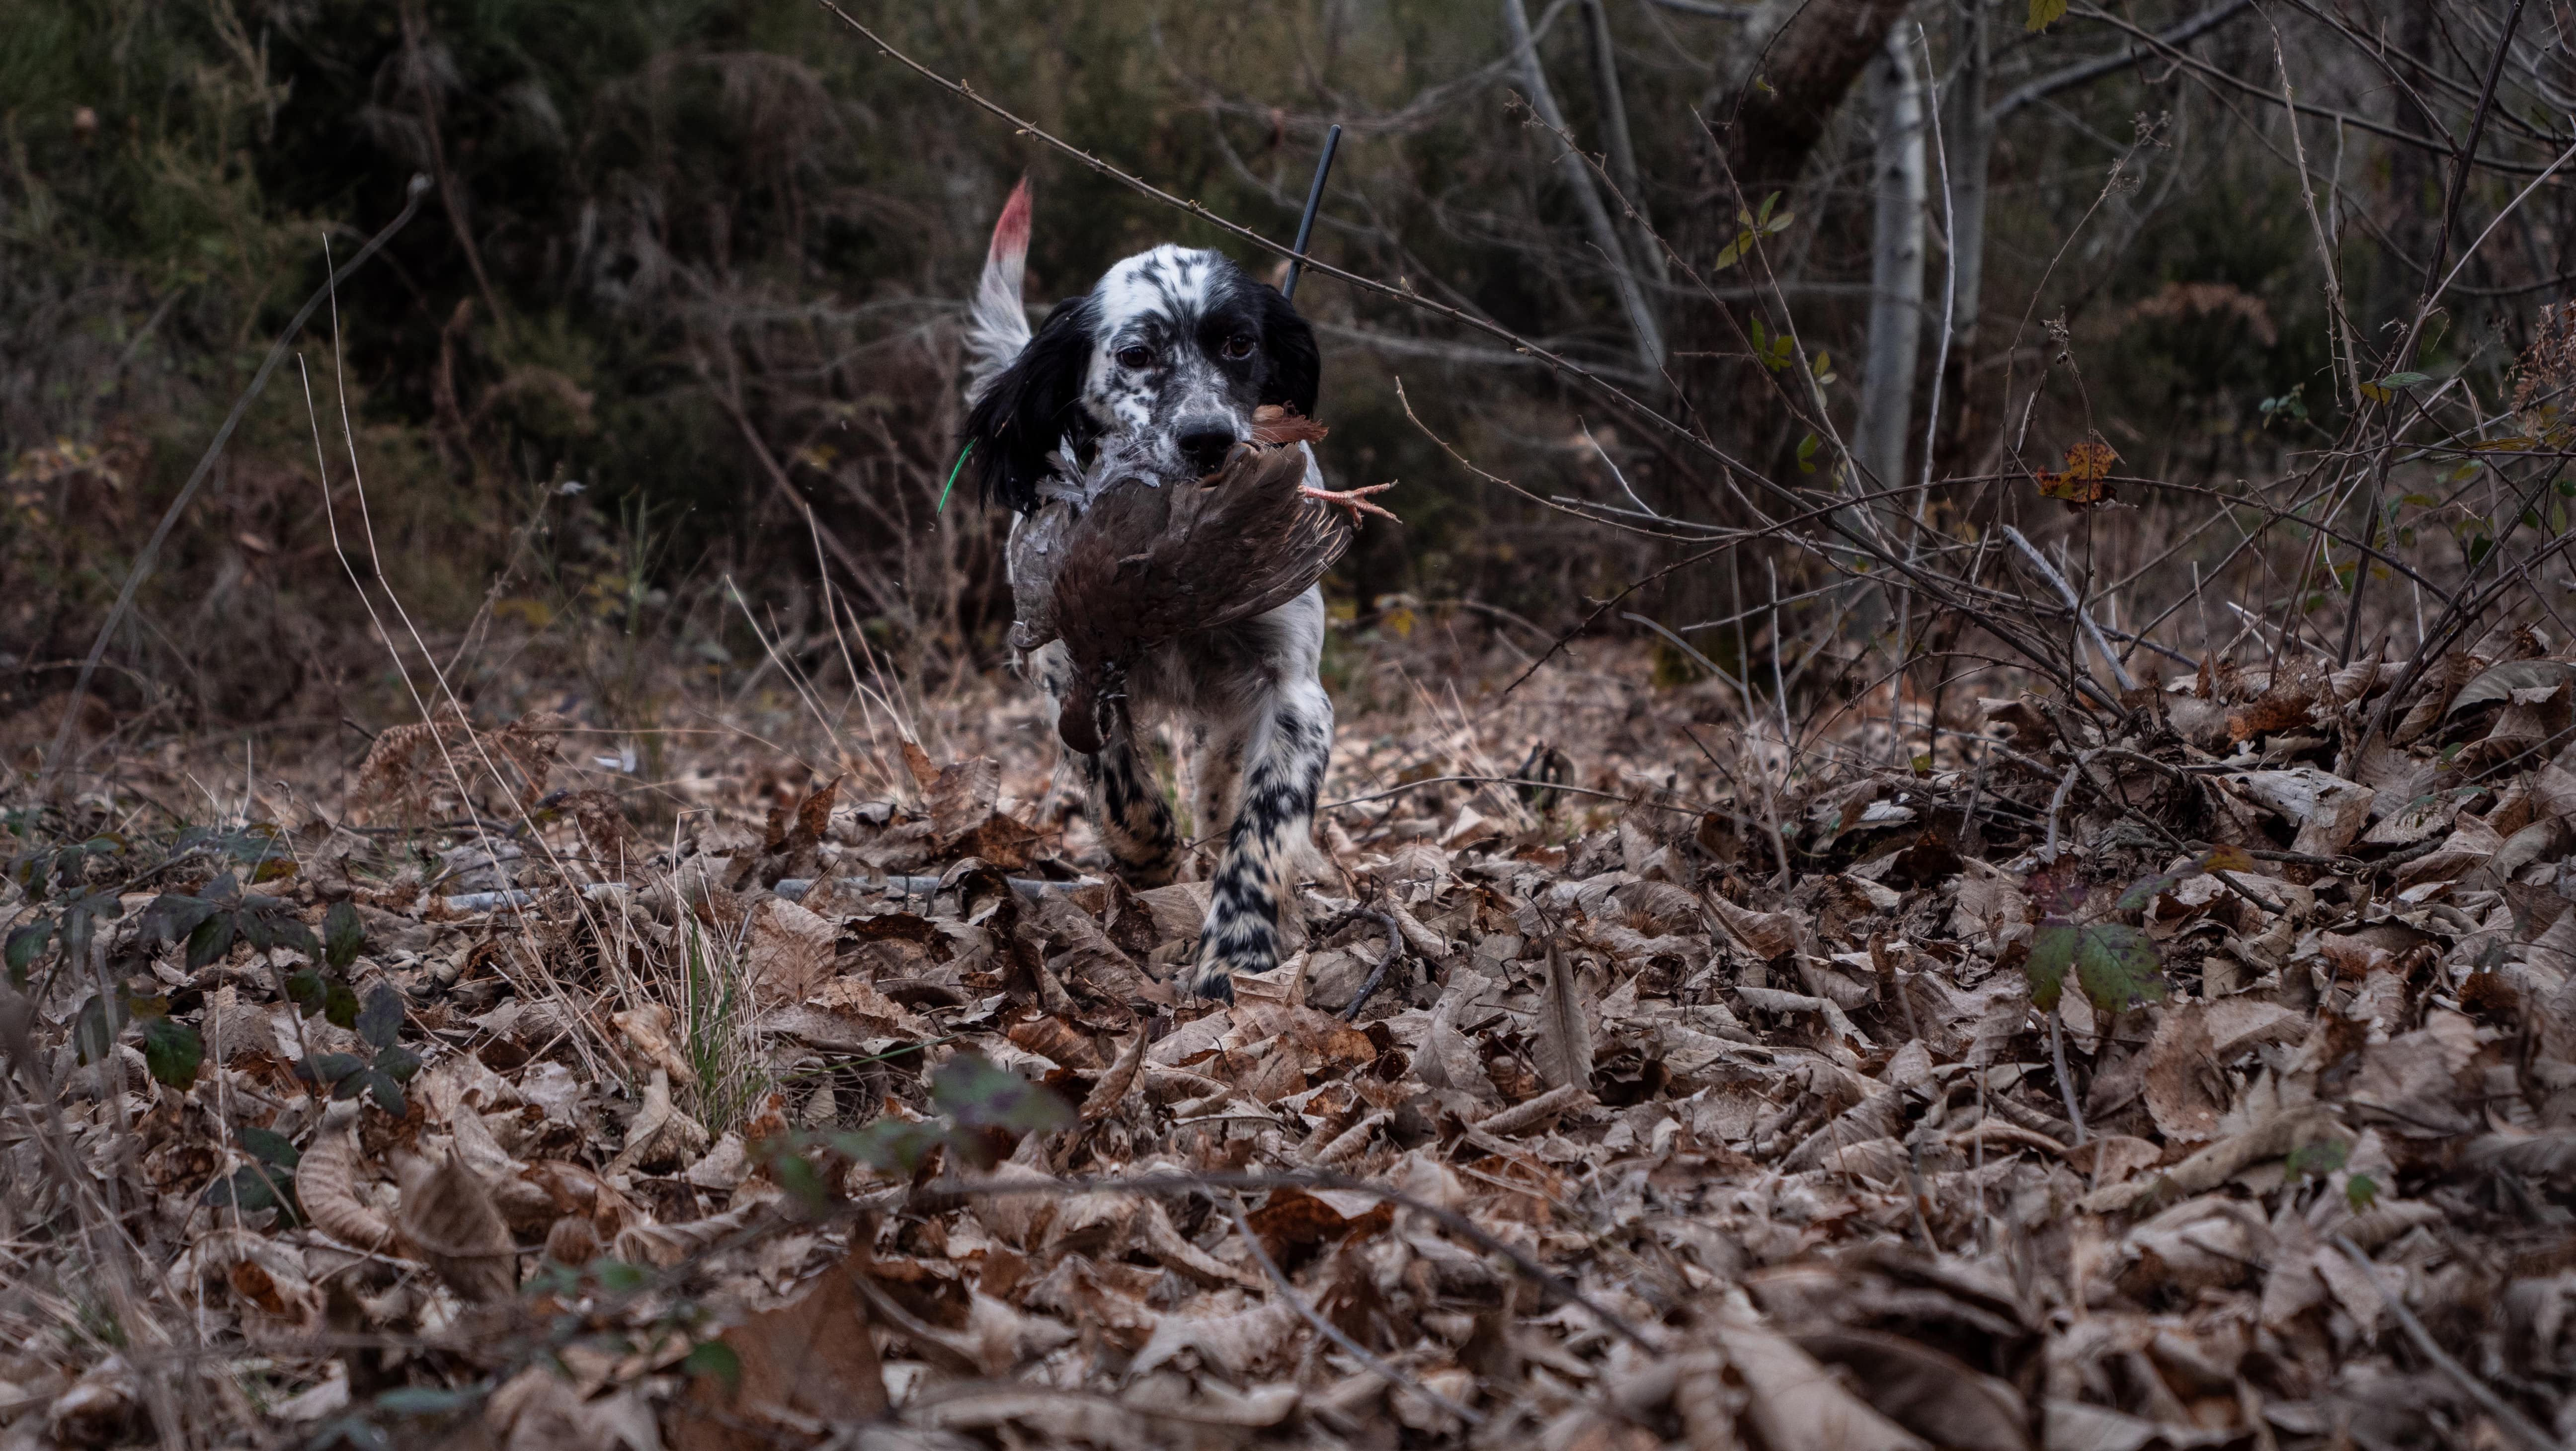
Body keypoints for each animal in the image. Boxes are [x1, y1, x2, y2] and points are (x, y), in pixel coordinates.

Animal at [958, 181, 1339, 1005]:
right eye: (1136, 356)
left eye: (1240, 344)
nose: (1208, 441)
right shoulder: (1071, 665)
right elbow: (1116, 779)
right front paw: (1148, 856)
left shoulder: (1294, 690)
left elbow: (1264, 826)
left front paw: (1238, 955)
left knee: (1220, 777)